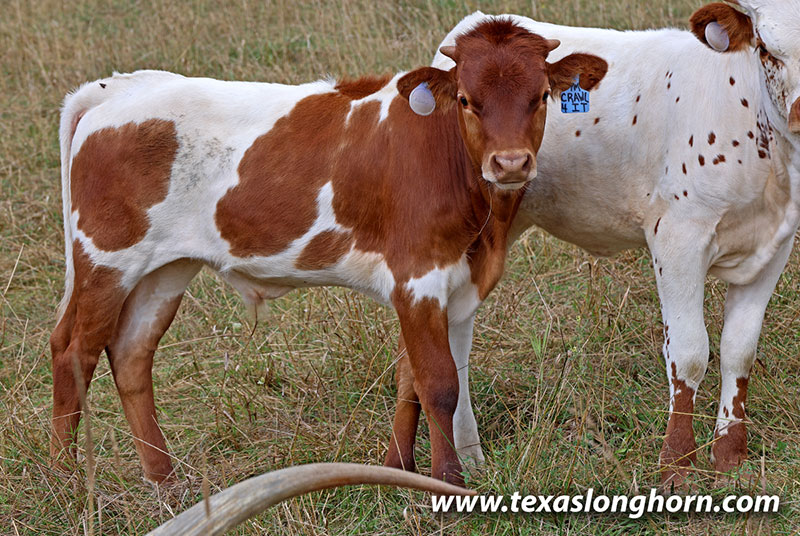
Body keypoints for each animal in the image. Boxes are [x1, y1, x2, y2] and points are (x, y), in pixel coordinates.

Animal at [50, 19, 608, 486]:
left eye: (541, 96)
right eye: (468, 100)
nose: (510, 162)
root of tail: (122, 87)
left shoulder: (441, 281)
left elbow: (409, 379)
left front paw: (397, 469)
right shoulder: (418, 275)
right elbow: (439, 383)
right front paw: (447, 483)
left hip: (164, 269)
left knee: (131, 353)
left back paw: (164, 480)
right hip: (106, 259)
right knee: (73, 350)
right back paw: (67, 481)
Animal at [409, 2, 800, 488]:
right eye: (765, 48)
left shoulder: (774, 246)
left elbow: (739, 350)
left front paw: (730, 456)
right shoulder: (678, 239)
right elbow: (690, 353)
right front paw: (676, 464)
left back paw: (469, 456)